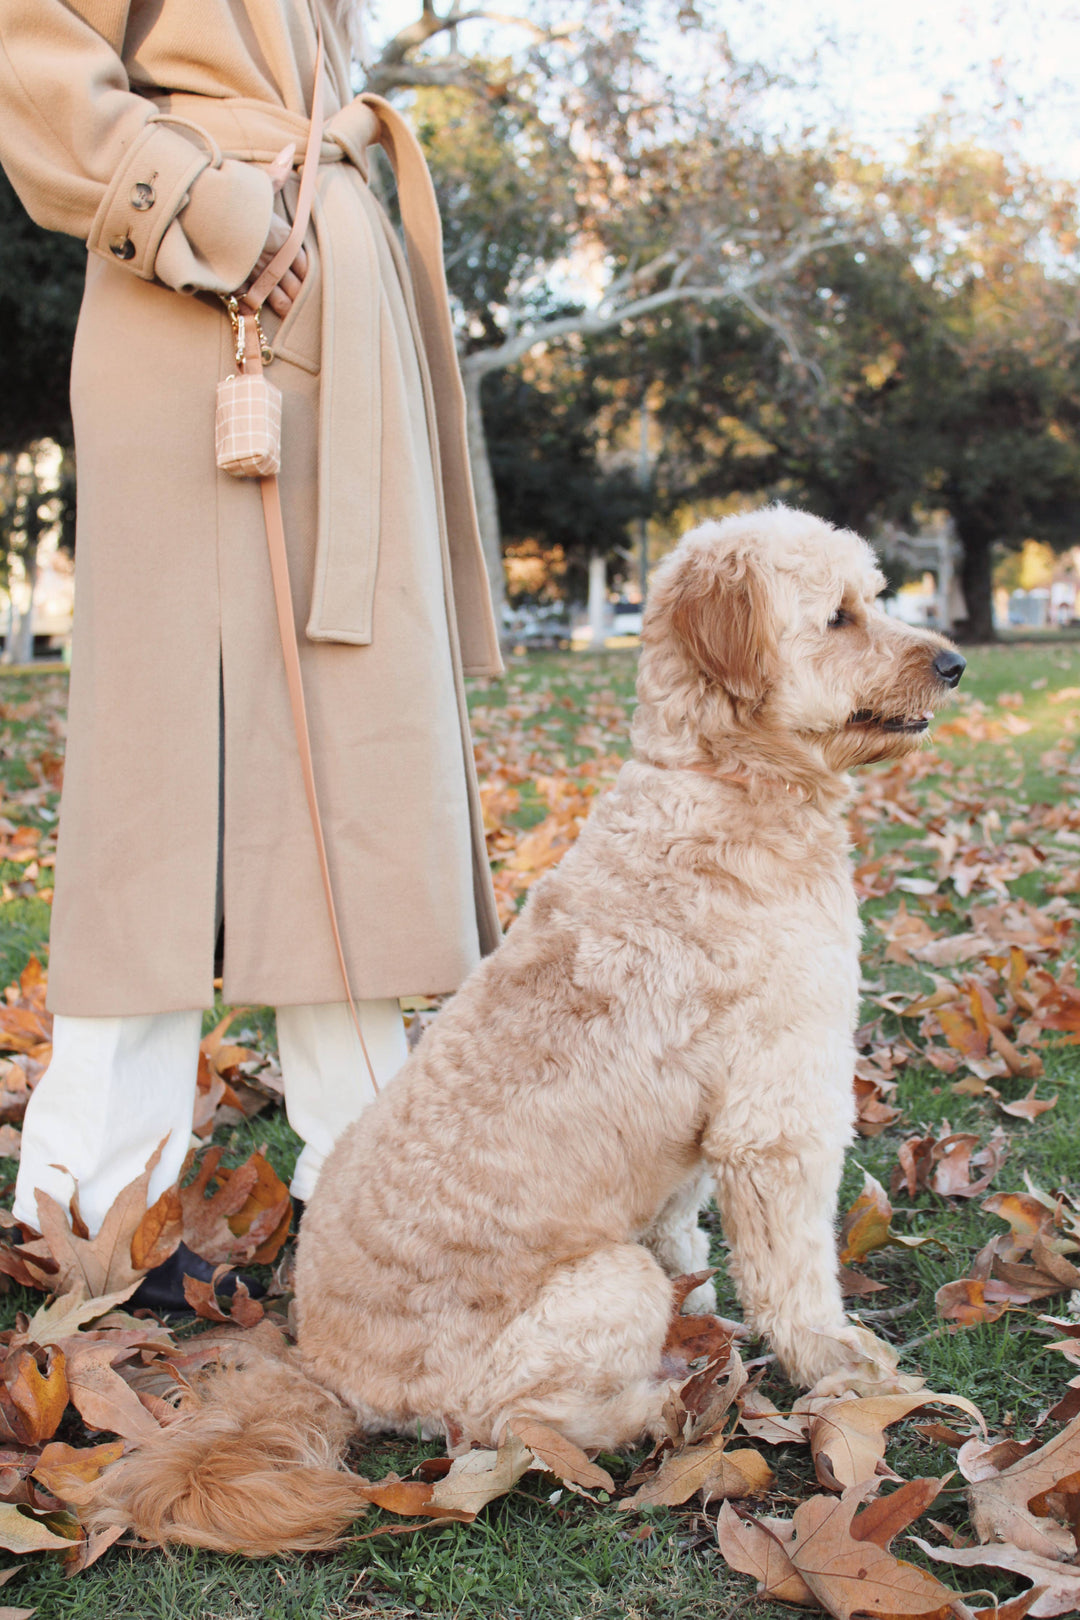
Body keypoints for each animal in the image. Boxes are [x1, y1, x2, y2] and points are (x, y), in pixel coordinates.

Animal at [93, 508, 965, 1555]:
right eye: (839, 616)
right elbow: (794, 1272)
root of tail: (328, 1371)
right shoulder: (778, 1111)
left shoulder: (696, 1140)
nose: (956, 663)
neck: (722, 782)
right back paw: (656, 1408)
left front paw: (713, 1320)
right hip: (599, 1288)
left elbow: (687, 1235)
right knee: (513, 1424)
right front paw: (835, 1359)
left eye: (873, 597)